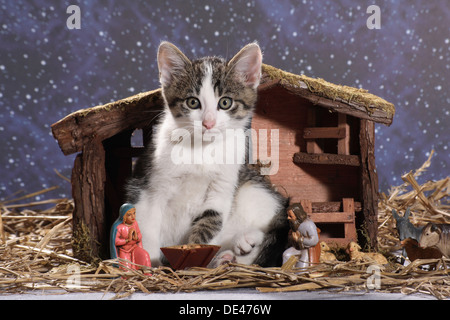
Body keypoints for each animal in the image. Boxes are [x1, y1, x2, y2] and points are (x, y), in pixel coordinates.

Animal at [126, 42, 288, 268]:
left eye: (225, 102)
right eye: (193, 102)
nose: (208, 123)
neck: (202, 149)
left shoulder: (222, 188)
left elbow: (209, 222)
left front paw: (193, 256)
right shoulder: (149, 187)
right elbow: (147, 225)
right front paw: (148, 263)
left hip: (253, 191)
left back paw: (242, 244)